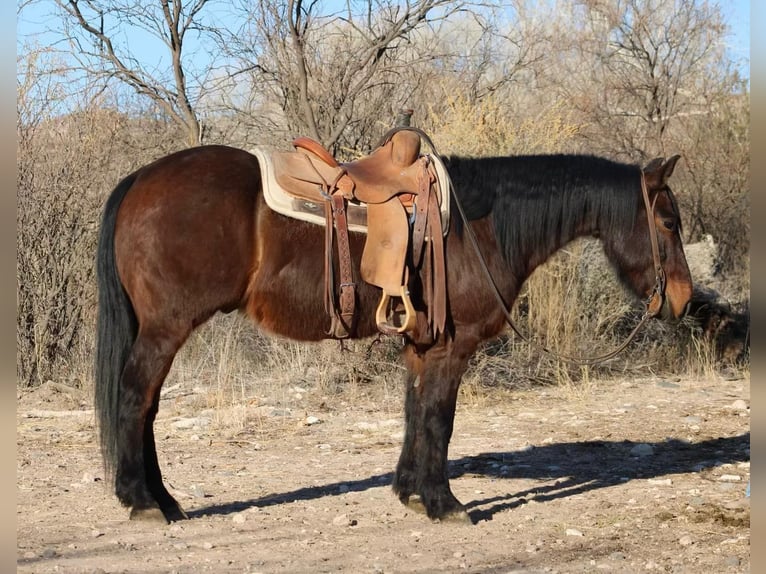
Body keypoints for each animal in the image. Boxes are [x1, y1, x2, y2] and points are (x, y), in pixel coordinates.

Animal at [95, 144, 693, 524]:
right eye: (668, 222)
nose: (683, 300)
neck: (481, 227)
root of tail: (140, 180)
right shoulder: (454, 347)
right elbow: (440, 419)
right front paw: (444, 503)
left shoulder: (420, 347)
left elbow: (414, 413)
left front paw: (410, 492)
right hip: (166, 330)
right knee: (135, 399)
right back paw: (142, 502)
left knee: (146, 408)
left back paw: (164, 500)